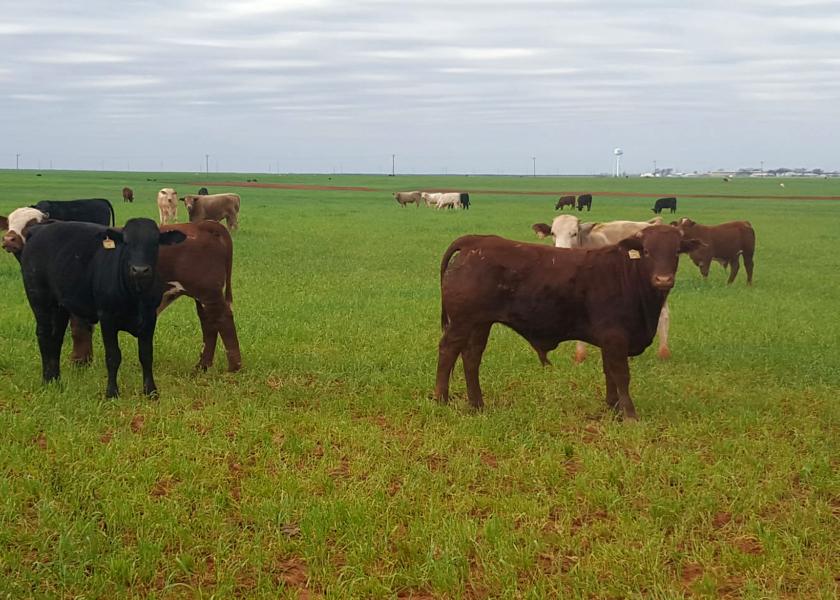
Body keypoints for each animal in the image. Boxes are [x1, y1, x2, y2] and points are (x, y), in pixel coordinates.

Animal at [17, 218, 185, 396]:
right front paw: (112, 392)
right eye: (126, 242)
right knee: (44, 336)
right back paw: (47, 380)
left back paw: (56, 380)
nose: (139, 270)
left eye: (155, 243)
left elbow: (146, 355)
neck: (136, 296)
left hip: (60, 306)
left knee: (56, 338)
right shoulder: (107, 317)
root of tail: (39, 229)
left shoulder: (149, 317)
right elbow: (113, 356)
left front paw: (151, 391)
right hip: (39, 300)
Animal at [536, 217, 672, 366]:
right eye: (553, 233)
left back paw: (664, 353)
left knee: (664, 314)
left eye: (574, 233)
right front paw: (580, 357)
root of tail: (651, 224)